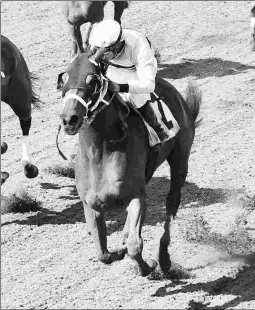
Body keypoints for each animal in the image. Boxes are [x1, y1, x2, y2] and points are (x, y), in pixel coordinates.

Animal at [57, 52, 201, 278]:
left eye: (92, 81)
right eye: (63, 79)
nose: (69, 119)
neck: (100, 152)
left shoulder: (137, 196)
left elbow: (135, 246)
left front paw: (148, 264)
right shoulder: (91, 205)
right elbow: (103, 253)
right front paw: (118, 249)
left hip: (180, 159)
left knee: (171, 205)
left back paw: (164, 259)